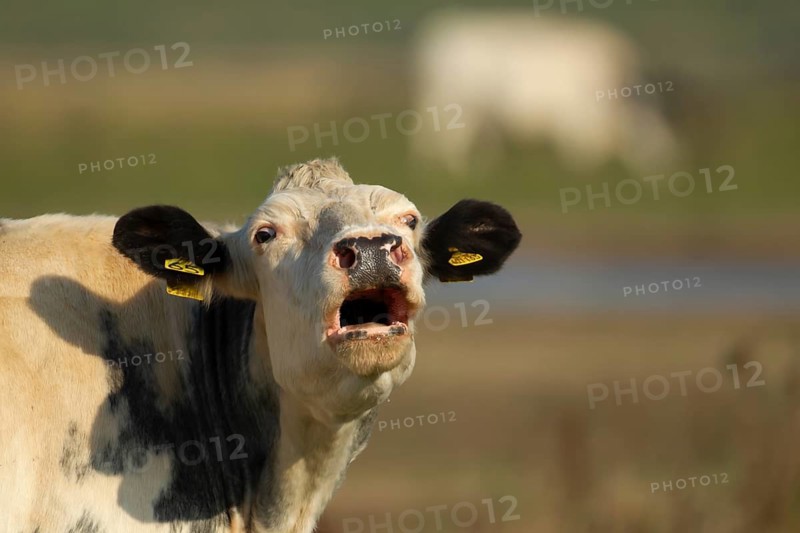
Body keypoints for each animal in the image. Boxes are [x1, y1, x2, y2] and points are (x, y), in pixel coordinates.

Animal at [411, 9, 681, 177]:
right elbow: (580, 141)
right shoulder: (576, 111)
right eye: (650, 127)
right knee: (451, 135)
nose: (673, 159)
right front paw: (582, 167)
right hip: (457, 99)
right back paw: (453, 166)